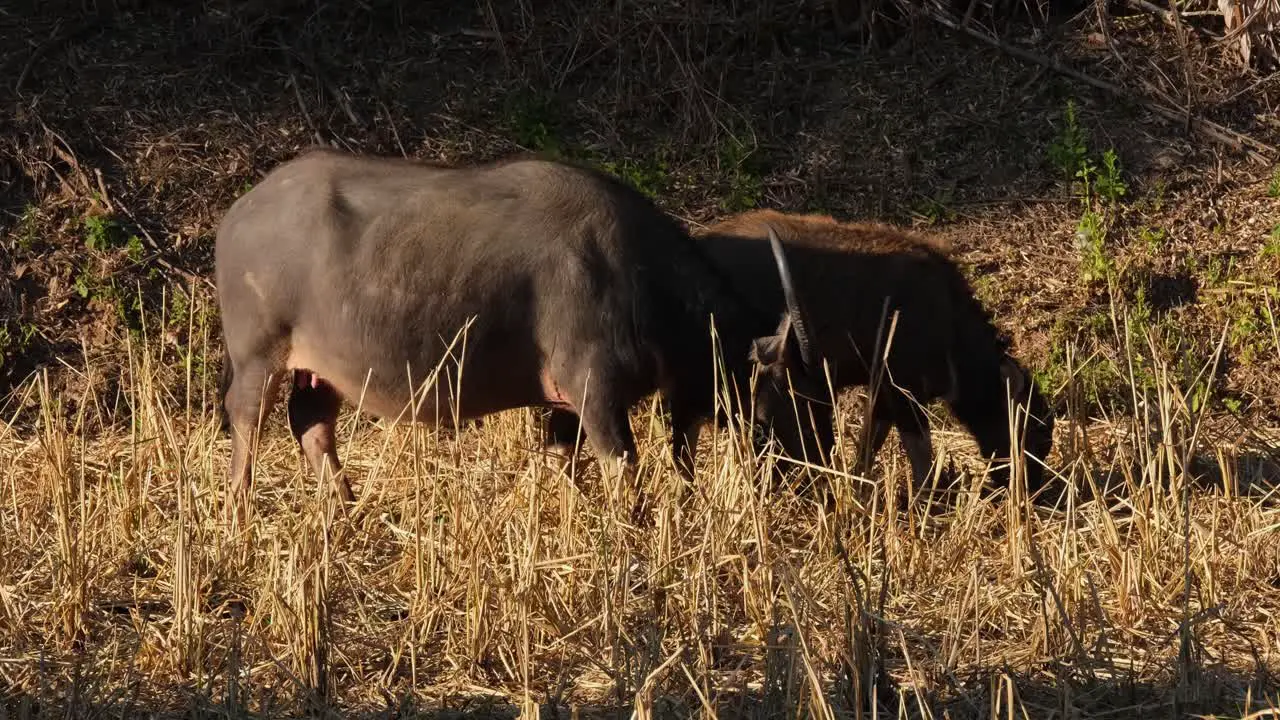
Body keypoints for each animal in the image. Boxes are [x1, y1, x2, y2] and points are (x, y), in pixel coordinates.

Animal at [215, 149, 834, 520]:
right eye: (793, 394)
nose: (819, 465)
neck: (639, 278)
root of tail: (239, 212)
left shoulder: (564, 404)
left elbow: (564, 461)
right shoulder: (596, 390)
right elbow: (623, 470)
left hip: (317, 368)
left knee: (312, 424)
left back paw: (348, 507)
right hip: (258, 356)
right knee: (246, 421)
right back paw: (239, 509)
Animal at [545, 210, 1054, 497]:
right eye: (1032, 426)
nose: (1038, 488)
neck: (946, 318)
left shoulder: (883, 393)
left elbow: (871, 442)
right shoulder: (901, 391)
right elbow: (917, 449)